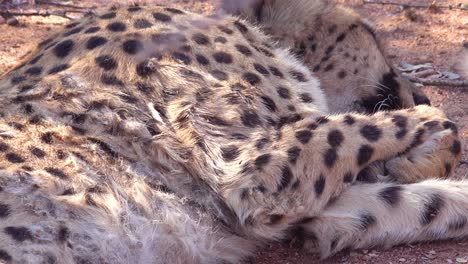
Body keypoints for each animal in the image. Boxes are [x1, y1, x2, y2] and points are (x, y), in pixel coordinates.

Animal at [0, 2, 462, 264]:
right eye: (371, 36)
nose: (420, 90)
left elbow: (423, 204)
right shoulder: (250, 172)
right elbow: (424, 125)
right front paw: (428, 138)